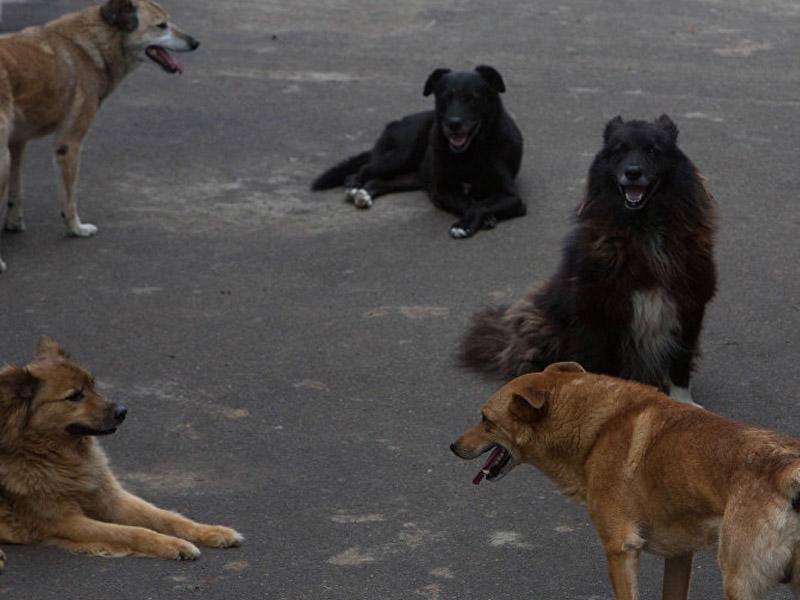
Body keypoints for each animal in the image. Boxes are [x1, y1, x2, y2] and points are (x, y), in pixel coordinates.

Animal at [0, 0, 199, 272]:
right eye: (161, 25)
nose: (195, 42)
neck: (87, 45)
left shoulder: (17, 142)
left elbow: (16, 190)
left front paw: (13, 222)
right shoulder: (69, 144)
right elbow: (70, 198)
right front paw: (76, 229)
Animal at [0, 338, 242, 572]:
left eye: (93, 385)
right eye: (75, 396)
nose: (123, 412)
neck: (59, 458)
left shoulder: (112, 499)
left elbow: (166, 517)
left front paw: (213, 531)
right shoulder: (66, 522)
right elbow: (132, 531)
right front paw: (174, 544)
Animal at [310, 66, 524, 239]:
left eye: (473, 98)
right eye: (445, 97)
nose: (453, 124)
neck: (470, 152)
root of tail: (397, 122)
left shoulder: (512, 196)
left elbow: (480, 204)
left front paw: (471, 222)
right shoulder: (442, 191)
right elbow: (470, 202)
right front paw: (471, 222)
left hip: (414, 177)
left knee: (379, 182)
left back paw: (364, 194)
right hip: (401, 157)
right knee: (362, 170)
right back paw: (354, 187)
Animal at [454, 360, 800, 600]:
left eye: (485, 420)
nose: (453, 446)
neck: (599, 425)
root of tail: (786, 472)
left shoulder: (620, 549)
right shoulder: (678, 556)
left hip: (739, 584)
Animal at [456, 115, 720, 400]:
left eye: (652, 150)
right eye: (619, 150)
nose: (633, 172)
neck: (642, 228)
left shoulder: (690, 305)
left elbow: (680, 363)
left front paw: (684, 402)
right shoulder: (597, 311)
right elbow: (599, 363)